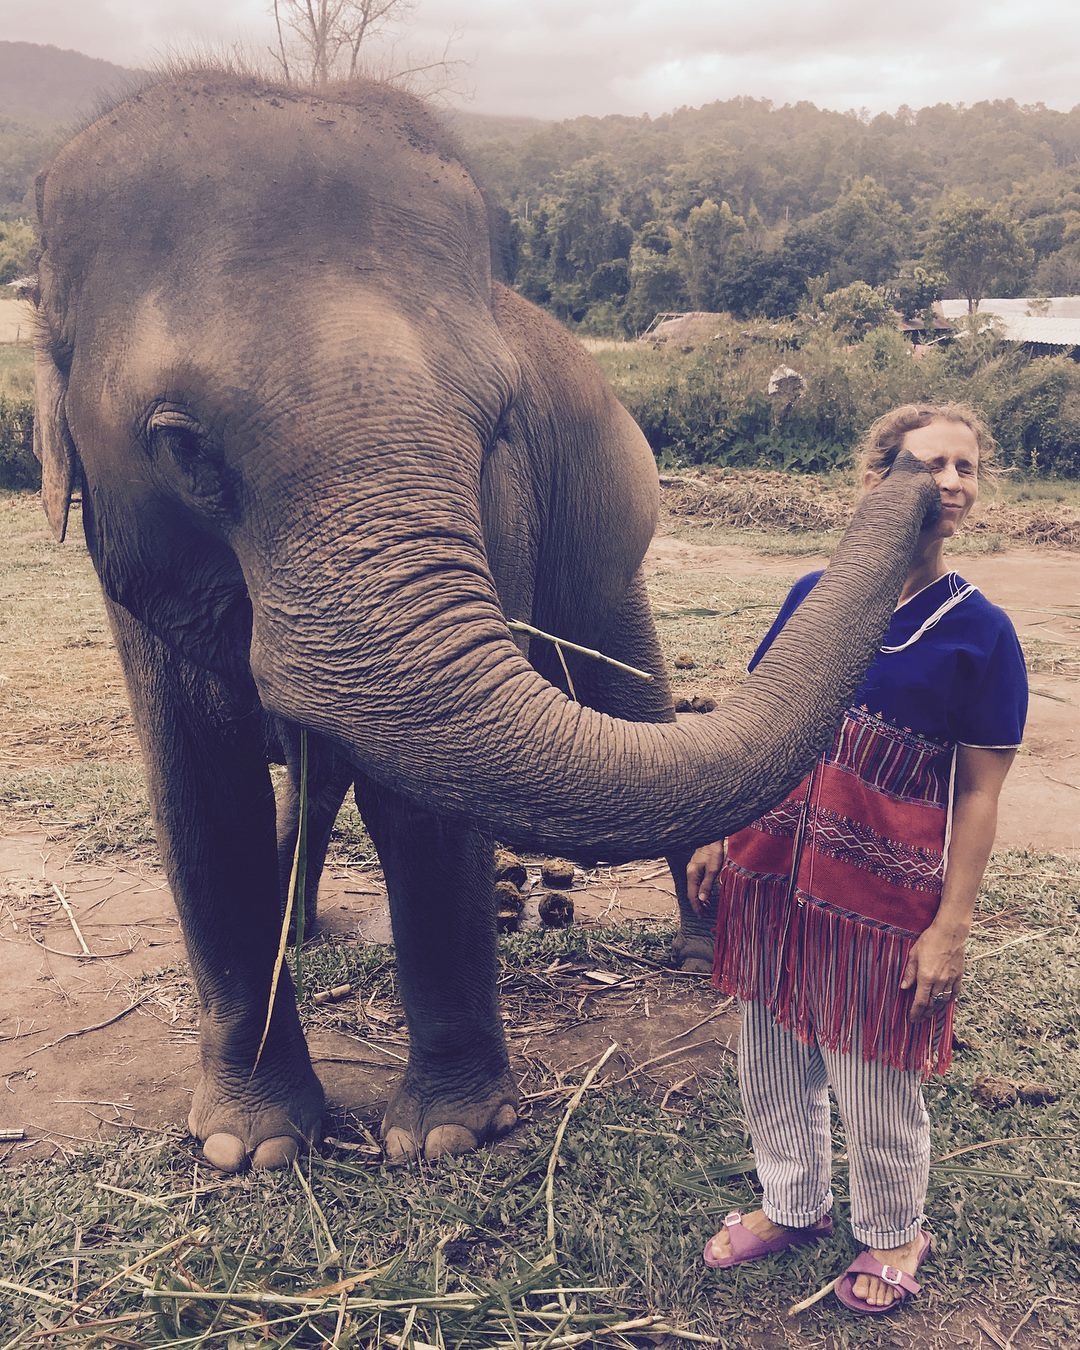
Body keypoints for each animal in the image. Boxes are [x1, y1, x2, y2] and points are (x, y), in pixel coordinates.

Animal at [31, 68, 939, 1172]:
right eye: (179, 445)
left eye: (497, 422)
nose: (921, 454)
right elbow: (201, 796)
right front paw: (252, 1149)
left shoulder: (497, 506)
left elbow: (423, 808)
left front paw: (448, 1135)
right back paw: (314, 935)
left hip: (604, 534)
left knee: (631, 703)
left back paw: (694, 950)